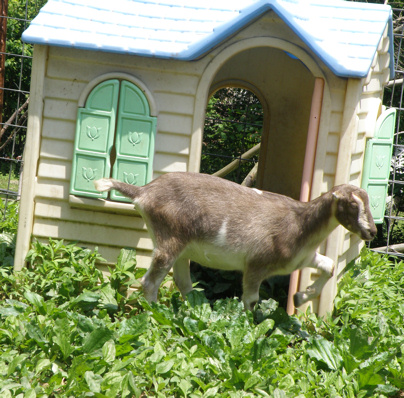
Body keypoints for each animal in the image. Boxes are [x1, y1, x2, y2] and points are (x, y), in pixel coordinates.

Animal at [94, 172, 376, 310]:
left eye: (368, 201)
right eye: (353, 204)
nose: (372, 232)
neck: (299, 223)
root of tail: (143, 192)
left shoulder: (303, 258)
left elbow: (329, 266)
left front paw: (299, 298)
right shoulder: (256, 265)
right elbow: (250, 300)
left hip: (181, 248)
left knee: (184, 283)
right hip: (169, 240)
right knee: (150, 282)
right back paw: (155, 317)